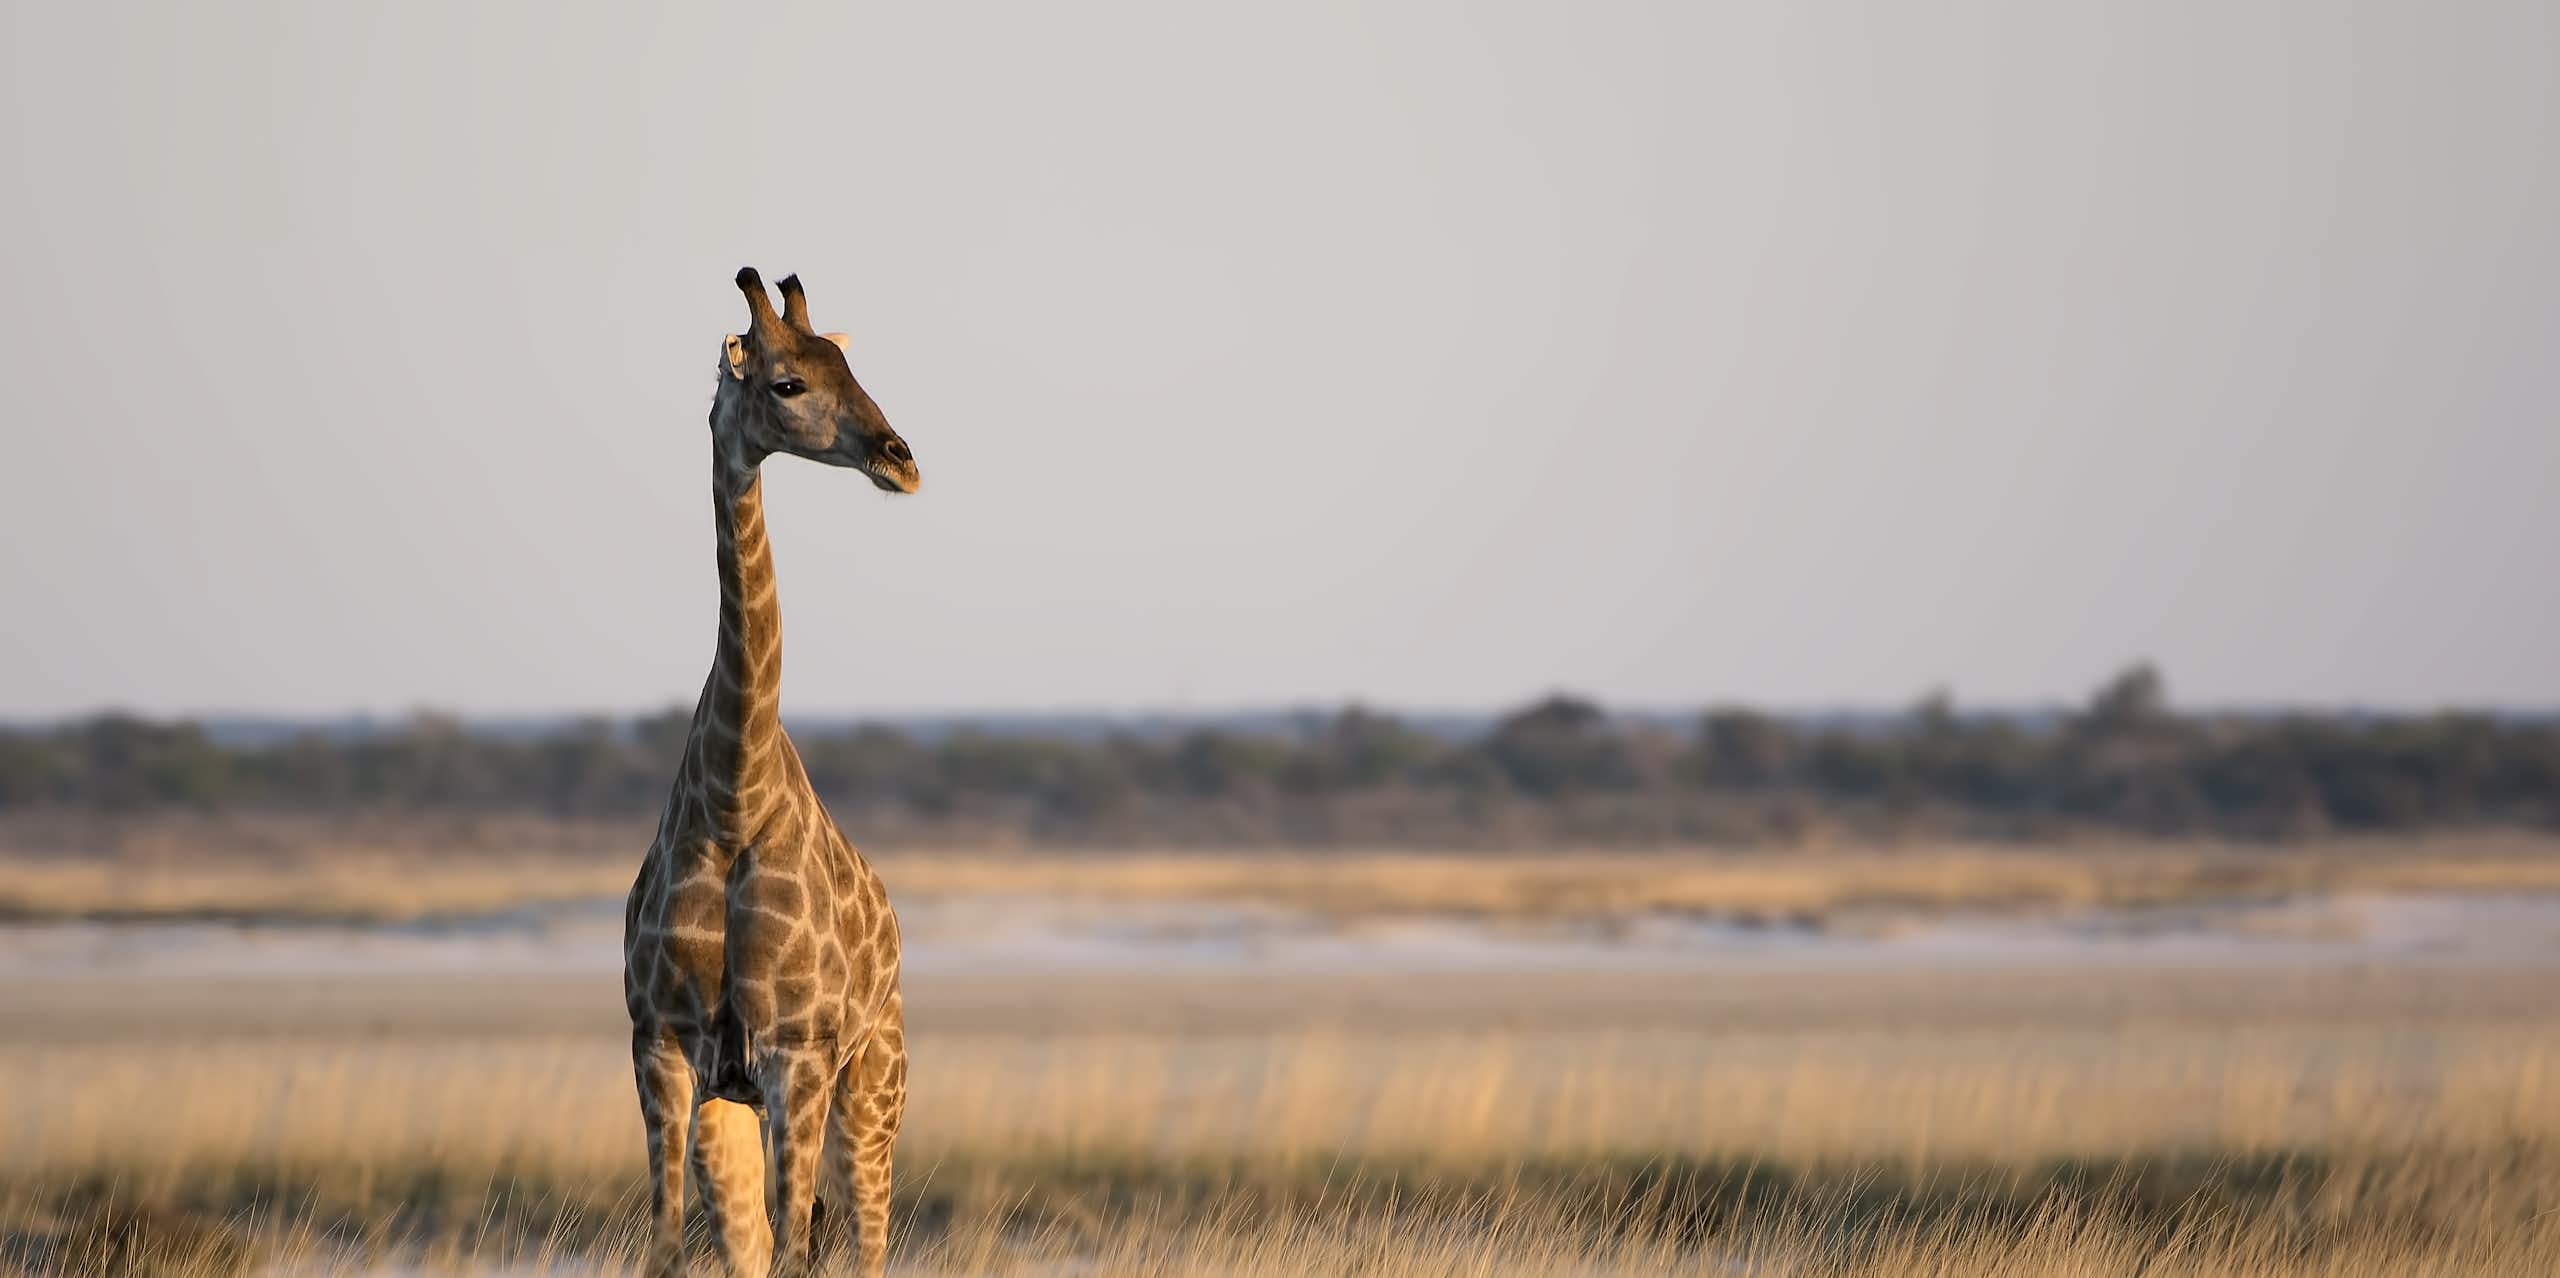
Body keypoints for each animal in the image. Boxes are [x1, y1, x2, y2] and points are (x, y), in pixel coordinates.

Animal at [624, 268, 918, 1278]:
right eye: (787, 383)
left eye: (850, 366)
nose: (900, 458)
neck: (732, 802)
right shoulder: (664, 1048)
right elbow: (667, 1247)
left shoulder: (797, 1054)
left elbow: (798, 1250)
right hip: (738, 1106)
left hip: (871, 1088)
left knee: (865, 1243)